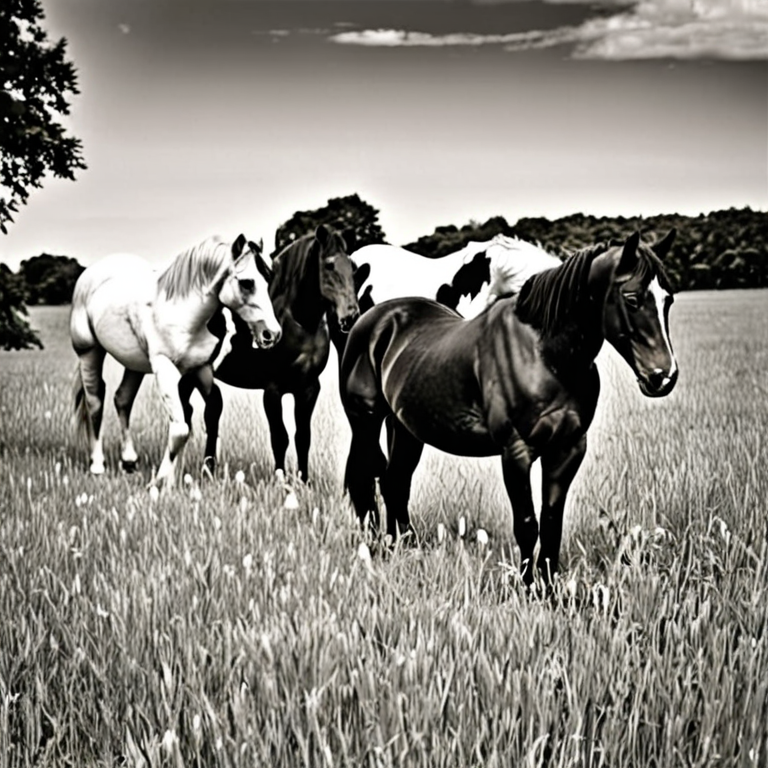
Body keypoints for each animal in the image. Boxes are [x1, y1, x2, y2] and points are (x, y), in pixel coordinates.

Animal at [70, 234, 281, 488]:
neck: (183, 312)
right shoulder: (165, 369)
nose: (272, 334)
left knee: (122, 400)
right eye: (247, 283)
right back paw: (97, 465)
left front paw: (193, 472)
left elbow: (209, 409)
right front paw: (161, 480)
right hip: (89, 352)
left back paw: (129, 461)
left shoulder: (200, 369)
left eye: (269, 278)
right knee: (95, 402)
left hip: (133, 365)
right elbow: (181, 428)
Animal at [197, 224, 359, 482]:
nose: (351, 315)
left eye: (353, 266)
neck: (300, 322)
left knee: (211, 411)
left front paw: (303, 480)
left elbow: (303, 437)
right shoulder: (273, 390)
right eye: (329, 265)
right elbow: (280, 437)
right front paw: (280, 479)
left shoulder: (308, 388)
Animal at [339, 230, 678, 585]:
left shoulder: (568, 449)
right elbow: (527, 524)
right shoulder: (516, 452)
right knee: (365, 476)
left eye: (668, 299)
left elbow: (552, 522)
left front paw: (548, 587)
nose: (663, 376)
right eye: (632, 299)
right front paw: (527, 586)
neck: (546, 354)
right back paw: (375, 548)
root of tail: (373, 320)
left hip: (405, 427)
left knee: (395, 482)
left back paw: (402, 546)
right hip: (365, 420)